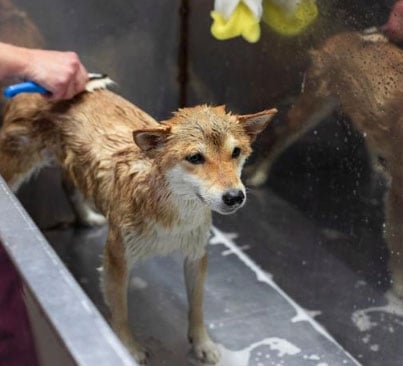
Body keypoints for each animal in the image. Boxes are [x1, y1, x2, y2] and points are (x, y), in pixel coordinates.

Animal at [0, 81, 276, 364]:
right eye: (195, 158)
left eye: (236, 152)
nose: (234, 197)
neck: (172, 214)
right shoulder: (117, 258)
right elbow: (120, 312)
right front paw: (128, 348)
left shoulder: (196, 254)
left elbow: (197, 307)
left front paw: (202, 343)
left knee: (68, 185)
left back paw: (87, 218)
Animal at [248, 28, 403, 298]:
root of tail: (349, 34)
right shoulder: (398, 195)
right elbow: (397, 243)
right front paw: (399, 287)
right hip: (315, 103)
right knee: (280, 136)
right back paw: (258, 173)